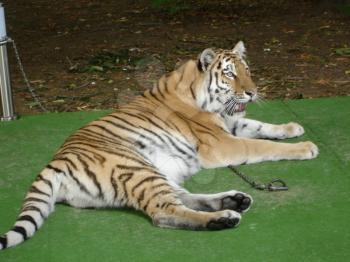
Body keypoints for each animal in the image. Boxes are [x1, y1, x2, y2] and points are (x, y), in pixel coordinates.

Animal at [0, 41, 318, 250]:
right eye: (230, 74)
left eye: (247, 70)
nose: (252, 92)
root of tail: (53, 164)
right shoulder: (222, 144)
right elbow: (261, 145)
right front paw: (306, 147)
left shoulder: (230, 126)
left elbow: (260, 127)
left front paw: (293, 128)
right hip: (136, 169)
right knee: (164, 212)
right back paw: (224, 217)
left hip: (154, 171)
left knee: (181, 197)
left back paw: (234, 201)